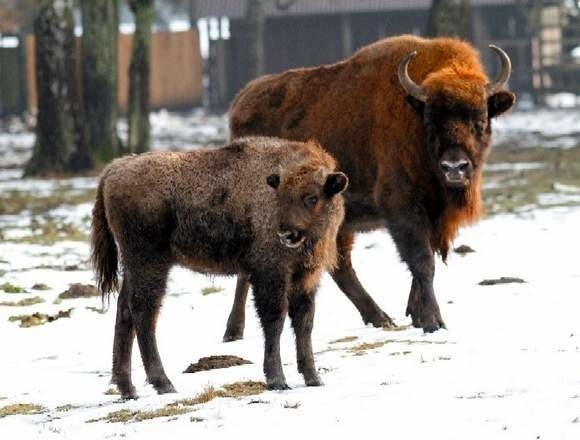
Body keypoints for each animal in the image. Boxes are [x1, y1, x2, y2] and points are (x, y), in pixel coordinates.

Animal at [88, 136, 346, 398]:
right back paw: (163, 384)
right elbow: (275, 322)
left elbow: (305, 324)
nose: (286, 234)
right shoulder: (271, 275)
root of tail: (114, 169)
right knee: (144, 313)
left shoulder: (306, 278)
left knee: (125, 311)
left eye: (312, 198)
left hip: (135, 267)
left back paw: (127, 388)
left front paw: (314, 378)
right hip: (150, 264)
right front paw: (277, 380)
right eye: (281, 196)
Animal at [224, 35, 516, 336]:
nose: (454, 167)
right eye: (430, 121)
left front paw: (415, 313)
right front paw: (432, 321)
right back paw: (233, 331)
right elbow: (422, 262)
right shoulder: (402, 208)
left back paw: (380, 317)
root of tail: (239, 105)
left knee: (339, 266)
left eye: (480, 120)